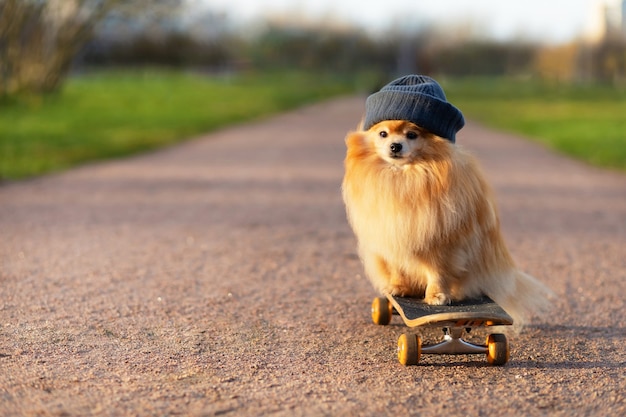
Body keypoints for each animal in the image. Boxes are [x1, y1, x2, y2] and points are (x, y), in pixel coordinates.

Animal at [342, 75, 552, 324]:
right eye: (382, 134)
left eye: (412, 134)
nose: (395, 146)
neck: (405, 177)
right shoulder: (391, 239)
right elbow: (397, 268)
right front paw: (398, 287)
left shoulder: (442, 244)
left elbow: (438, 272)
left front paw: (437, 296)